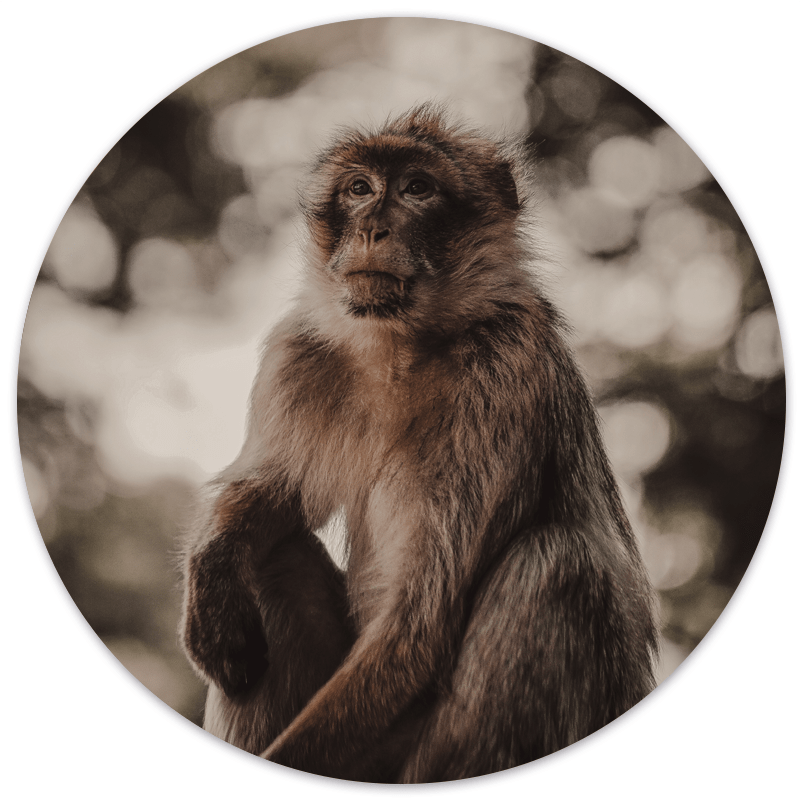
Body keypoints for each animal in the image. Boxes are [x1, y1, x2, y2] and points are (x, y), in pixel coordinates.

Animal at [181, 105, 659, 783]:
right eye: (359, 189)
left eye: (416, 189)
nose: (374, 228)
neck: (400, 347)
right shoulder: (298, 355)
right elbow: (272, 494)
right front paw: (212, 568)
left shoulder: (505, 371)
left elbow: (420, 618)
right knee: (273, 556)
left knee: (557, 564)